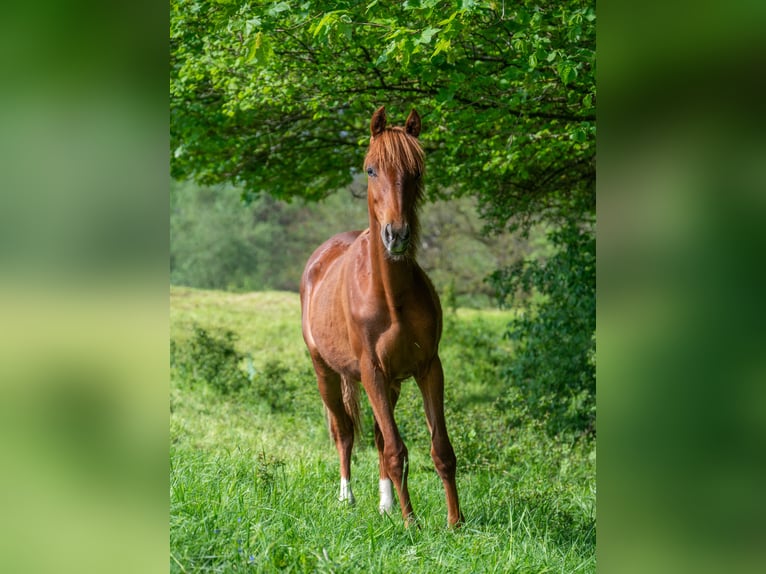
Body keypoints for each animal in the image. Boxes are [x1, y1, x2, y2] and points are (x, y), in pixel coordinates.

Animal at [302, 106, 464, 528]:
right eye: (371, 169)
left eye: (417, 171)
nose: (397, 235)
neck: (391, 296)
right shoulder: (371, 370)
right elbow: (395, 449)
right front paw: (411, 523)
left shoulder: (428, 367)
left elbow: (440, 449)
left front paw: (455, 522)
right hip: (325, 371)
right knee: (344, 432)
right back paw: (347, 497)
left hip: (391, 384)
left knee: (375, 436)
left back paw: (385, 504)